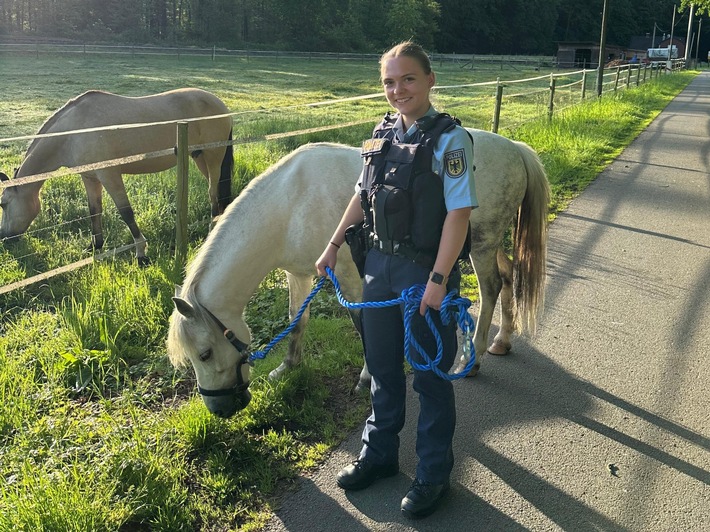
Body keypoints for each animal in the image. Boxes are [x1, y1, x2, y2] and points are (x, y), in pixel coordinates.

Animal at [0, 88, 233, 264]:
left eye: (3, 203)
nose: (3, 237)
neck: (74, 131)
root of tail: (221, 106)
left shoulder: (109, 175)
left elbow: (126, 212)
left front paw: (141, 254)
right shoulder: (90, 178)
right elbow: (94, 211)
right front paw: (95, 246)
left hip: (213, 157)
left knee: (213, 192)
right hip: (200, 157)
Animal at [167, 134, 550, 418]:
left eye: (204, 354)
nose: (221, 409)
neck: (290, 205)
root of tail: (515, 149)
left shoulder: (350, 279)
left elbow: (363, 325)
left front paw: (367, 379)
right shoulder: (300, 275)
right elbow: (296, 321)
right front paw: (288, 367)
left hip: (481, 245)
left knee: (491, 287)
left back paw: (474, 359)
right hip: (486, 245)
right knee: (509, 275)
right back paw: (502, 341)